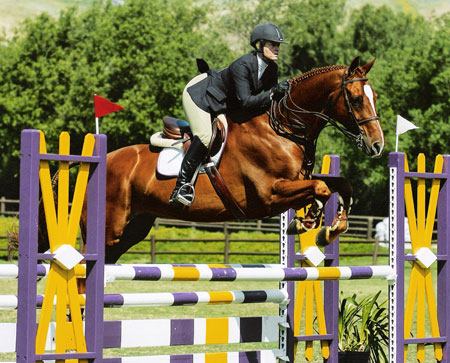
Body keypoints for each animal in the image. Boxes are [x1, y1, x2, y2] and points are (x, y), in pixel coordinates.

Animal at [38, 57, 384, 264]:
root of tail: (98, 159)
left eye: (374, 97)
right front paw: (315, 225)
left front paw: (325, 223)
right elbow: (321, 189)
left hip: (133, 228)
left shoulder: (296, 182)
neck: (282, 127)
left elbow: (339, 184)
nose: (377, 145)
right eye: (356, 99)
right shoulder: (269, 194)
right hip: (109, 227)